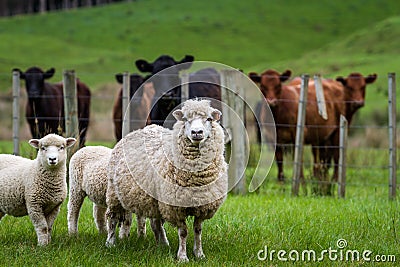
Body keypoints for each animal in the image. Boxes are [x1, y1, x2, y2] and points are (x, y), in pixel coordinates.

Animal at [105, 99, 228, 262]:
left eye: (209, 119)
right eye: (185, 120)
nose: (196, 132)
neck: (196, 178)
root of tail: (139, 130)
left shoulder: (202, 206)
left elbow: (198, 230)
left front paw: (199, 254)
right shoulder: (176, 207)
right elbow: (183, 232)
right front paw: (182, 257)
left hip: (155, 200)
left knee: (156, 222)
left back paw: (163, 244)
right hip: (114, 194)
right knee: (112, 218)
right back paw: (110, 243)